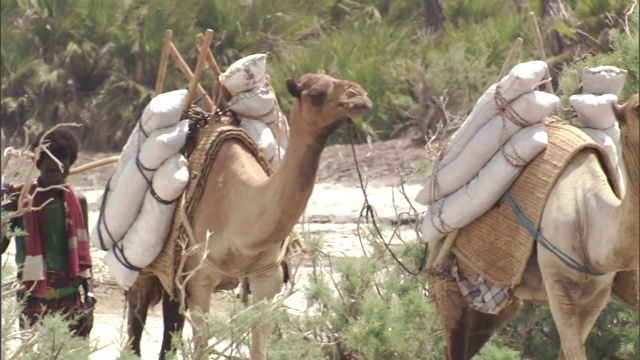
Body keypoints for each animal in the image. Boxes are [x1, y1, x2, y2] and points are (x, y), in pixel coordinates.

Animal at [125, 74, 372, 360]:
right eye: (317, 94)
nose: (360, 96)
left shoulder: (267, 280)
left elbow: (258, 347)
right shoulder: (200, 281)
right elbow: (201, 348)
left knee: (170, 324)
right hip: (144, 269)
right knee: (135, 324)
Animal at [436, 93, 640, 360]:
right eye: (637, 108)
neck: (587, 222)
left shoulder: (598, 295)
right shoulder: (558, 285)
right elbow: (574, 352)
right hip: (449, 281)